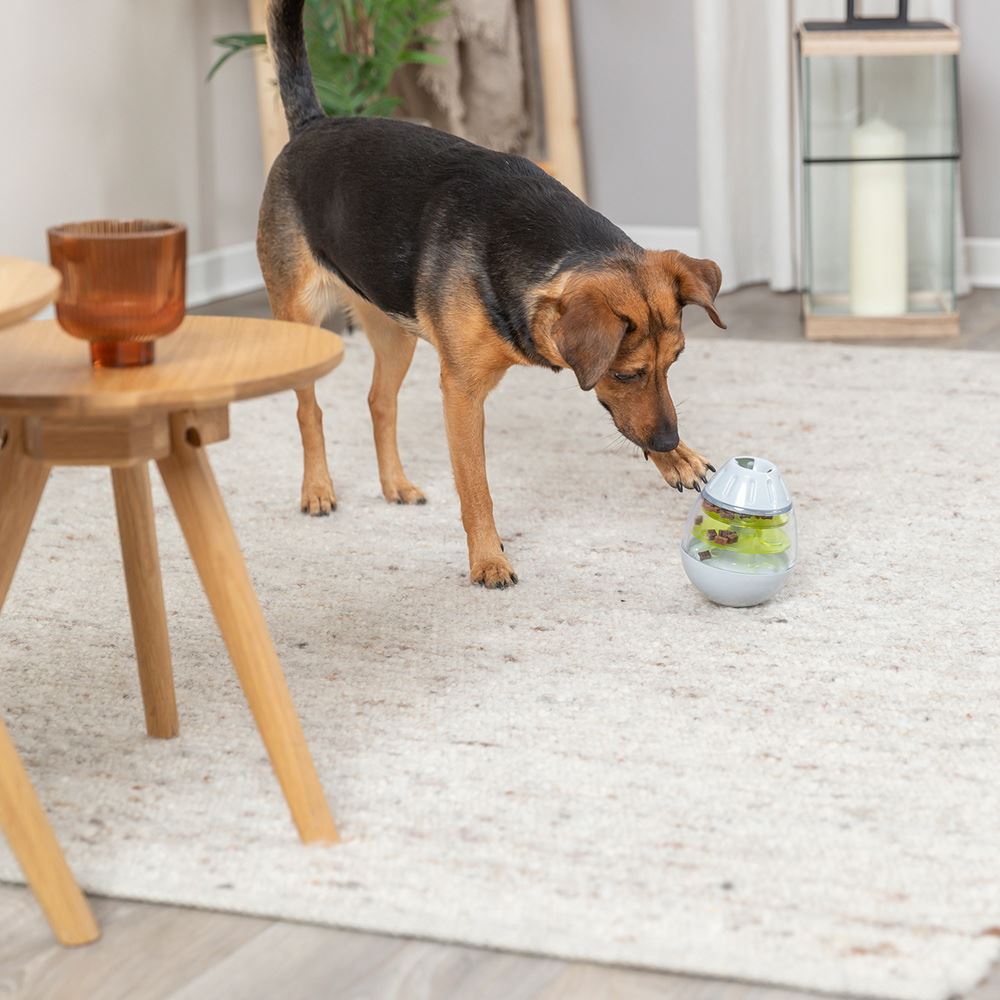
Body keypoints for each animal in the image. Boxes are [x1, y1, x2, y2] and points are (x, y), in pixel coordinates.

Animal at [258, 0, 728, 584]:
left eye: (675, 362)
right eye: (626, 373)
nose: (666, 442)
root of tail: (312, 125)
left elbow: (632, 420)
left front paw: (677, 457)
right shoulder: (461, 393)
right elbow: (475, 488)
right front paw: (487, 559)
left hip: (393, 331)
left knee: (379, 402)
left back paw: (395, 485)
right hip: (299, 316)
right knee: (310, 411)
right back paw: (318, 490)